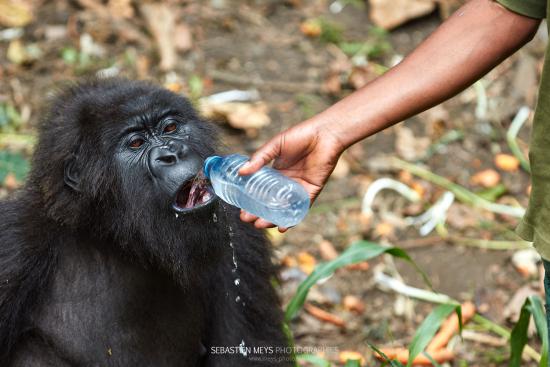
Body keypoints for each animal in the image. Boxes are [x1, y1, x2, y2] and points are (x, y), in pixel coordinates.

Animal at [0, 79, 294, 366]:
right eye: (136, 144)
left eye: (171, 127)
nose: (173, 153)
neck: (116, 240)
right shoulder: (15, 243)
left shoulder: (240, 233)